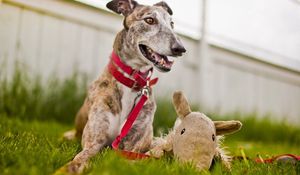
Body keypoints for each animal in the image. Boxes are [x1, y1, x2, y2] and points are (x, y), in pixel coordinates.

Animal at [62, 0, 185, 172]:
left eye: (172, 24)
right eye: (149, 20)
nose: (180, 48)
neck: (131, 82)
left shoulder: (131, 147)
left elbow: (131, 162)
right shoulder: (93, 143)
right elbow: (78, 161)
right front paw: (68, 168)